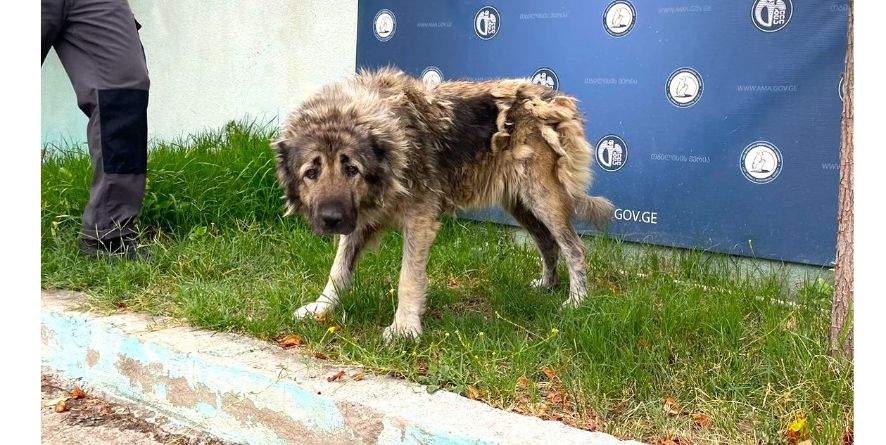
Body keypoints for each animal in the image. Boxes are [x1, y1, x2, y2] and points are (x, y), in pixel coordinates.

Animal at [274, 67, 612, 340]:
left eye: (351, 169)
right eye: (311, 172)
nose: (330, 219)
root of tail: (553, 97)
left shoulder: (419, 220)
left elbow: (408, 278)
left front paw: (404, 328)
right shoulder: (360, 219)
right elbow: (339, 269)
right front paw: (322, 307)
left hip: (542, 197)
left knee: (574, 247)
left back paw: (577, 301)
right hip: (520, 204)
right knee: (548, 244)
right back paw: (547, 286)